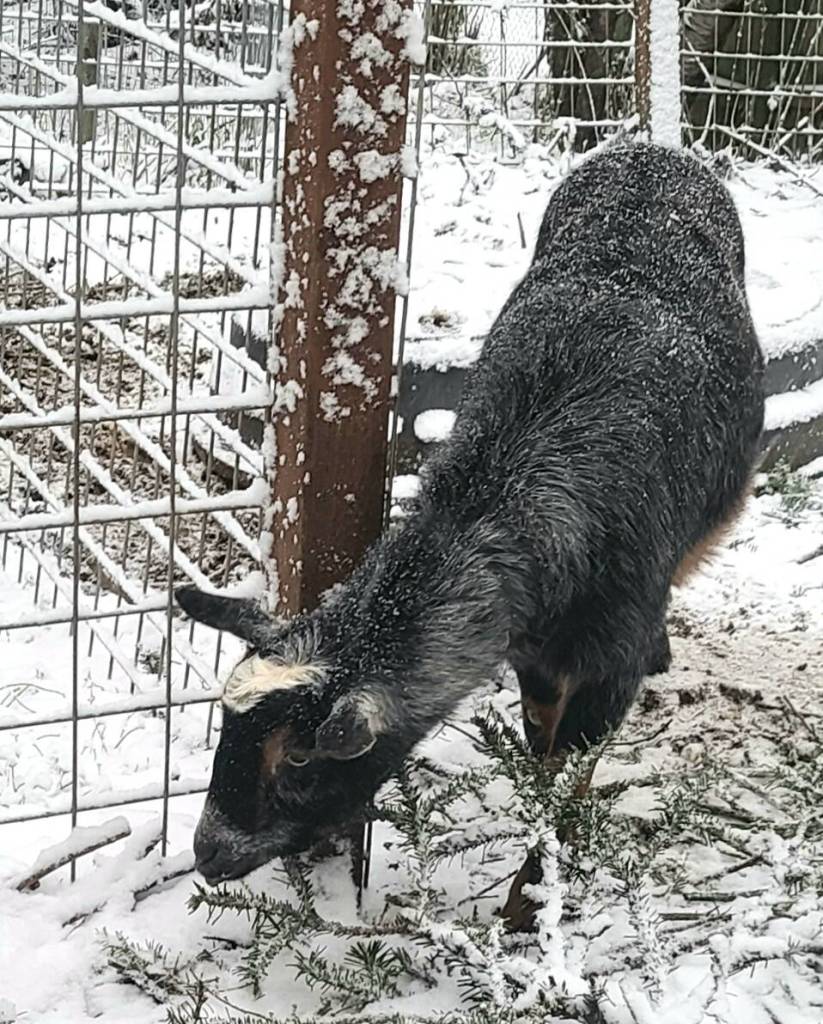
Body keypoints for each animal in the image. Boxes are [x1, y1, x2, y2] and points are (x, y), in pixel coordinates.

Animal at [177, 141, 764, 915]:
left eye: (300, 756)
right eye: (225, 731)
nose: (208, 853)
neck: (498, 493)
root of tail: (650, 147)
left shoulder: (606, 663)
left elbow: (568, 784)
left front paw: (527, 909)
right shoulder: (533, 654)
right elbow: (542, 741)